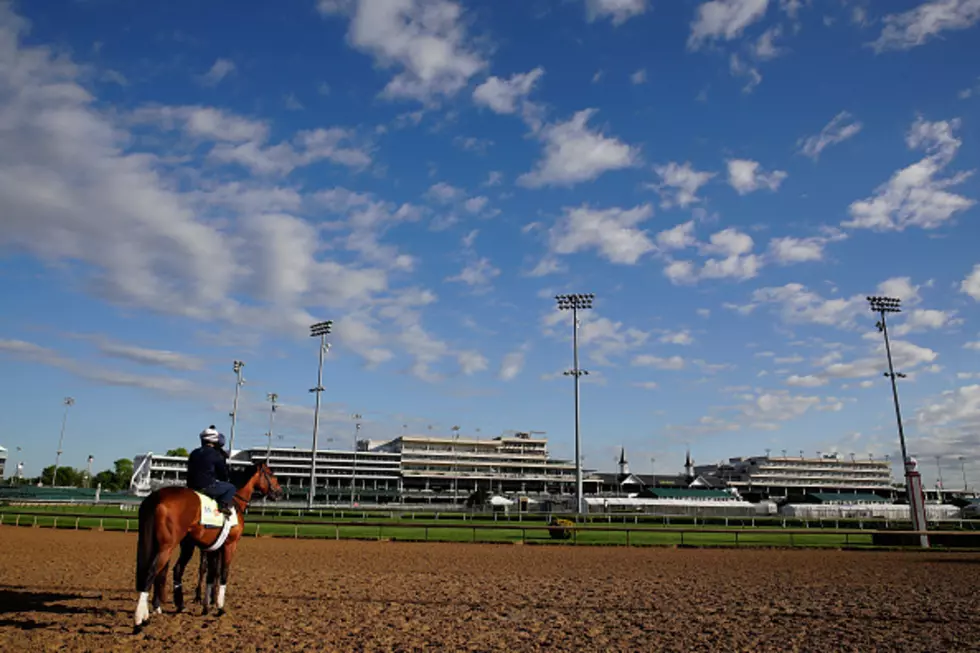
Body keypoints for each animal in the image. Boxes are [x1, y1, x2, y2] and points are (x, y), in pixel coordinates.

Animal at [132, 458, 282, 632]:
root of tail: (156, 496)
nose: (279, 493)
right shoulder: (230, 545)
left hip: (176, 545)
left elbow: (211, 574)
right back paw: (140, 620)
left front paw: (206, 606)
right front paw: (220, 607)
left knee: (171, 570)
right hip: (168, 546)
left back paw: (170, 607)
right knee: (151, 573)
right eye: (271, 474)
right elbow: (223, 573)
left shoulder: (213, 548)